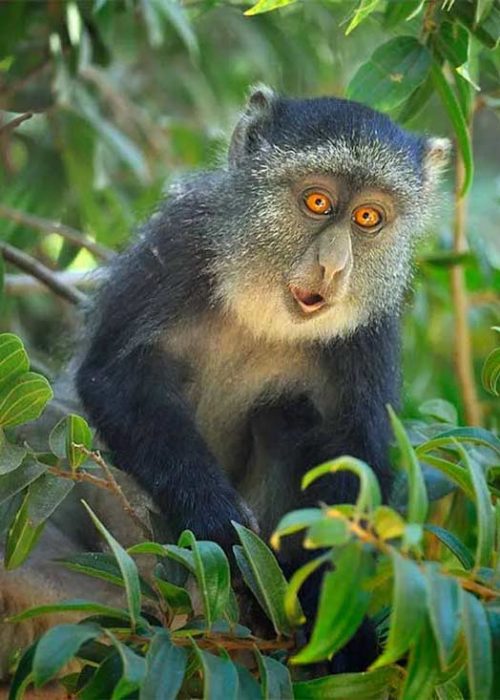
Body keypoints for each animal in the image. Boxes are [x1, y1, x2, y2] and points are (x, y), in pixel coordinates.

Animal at [0, 87, 450, 677]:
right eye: (317, 203)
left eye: (369, 217)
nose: (334, 267)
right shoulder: (177, 242)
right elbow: (114, 379)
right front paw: (220, 526)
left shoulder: (369, 330)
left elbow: (352, 451)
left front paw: (341, 634)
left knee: (287, 413)